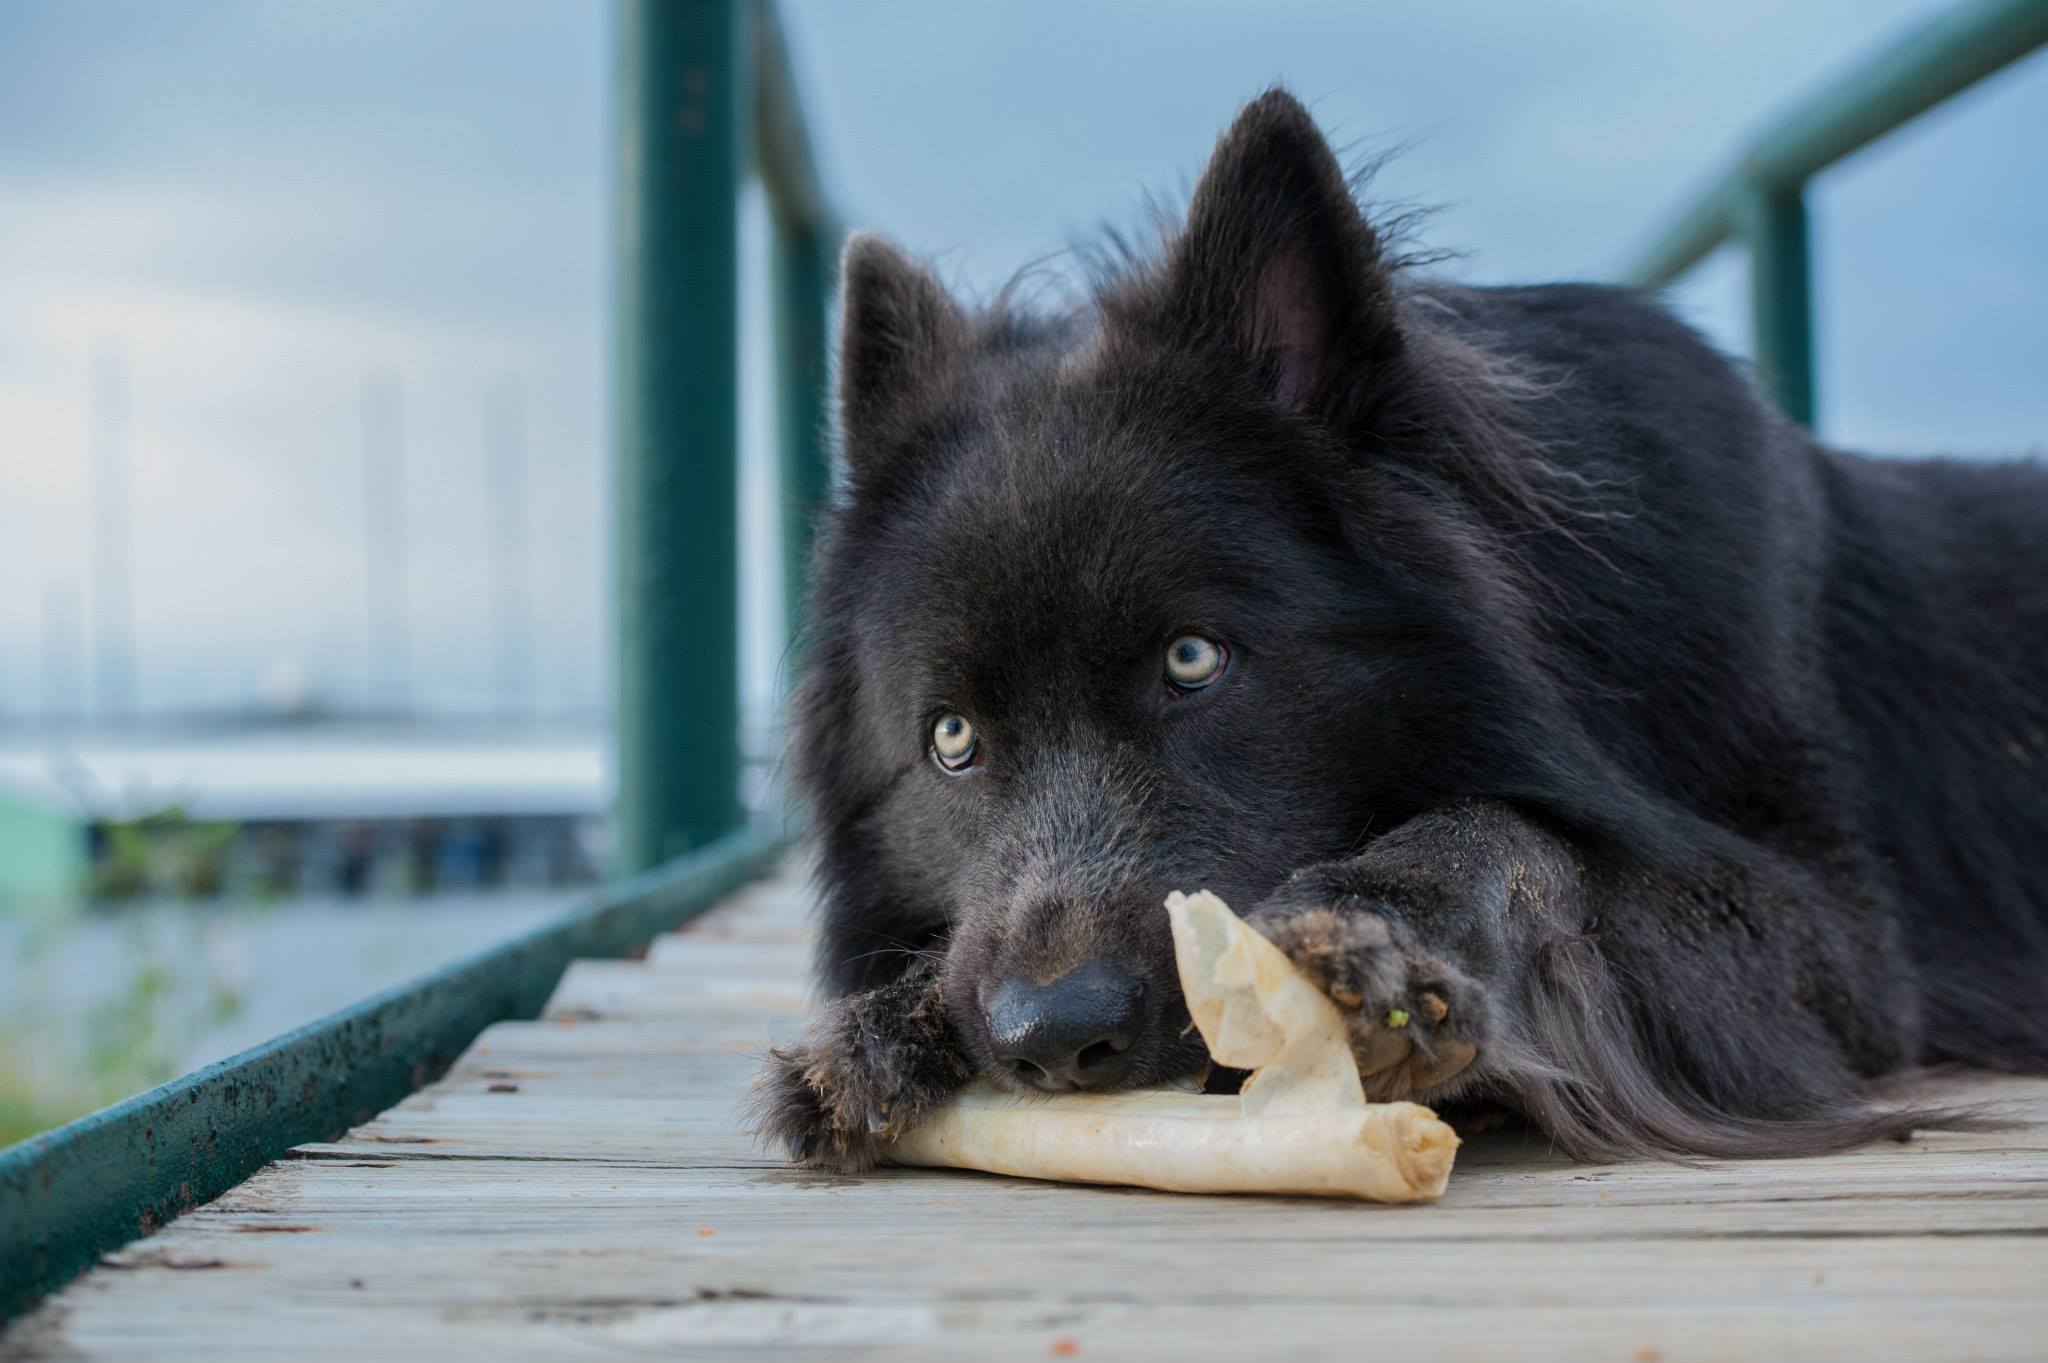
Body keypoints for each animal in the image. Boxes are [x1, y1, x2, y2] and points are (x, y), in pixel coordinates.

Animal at [757, 90, 2048, 1162]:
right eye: (952, 740)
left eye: (1192, 661)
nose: (1054, 1036)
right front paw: (882, 1026)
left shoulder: (1836, 941)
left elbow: (1532, 835)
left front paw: (1383, 924)